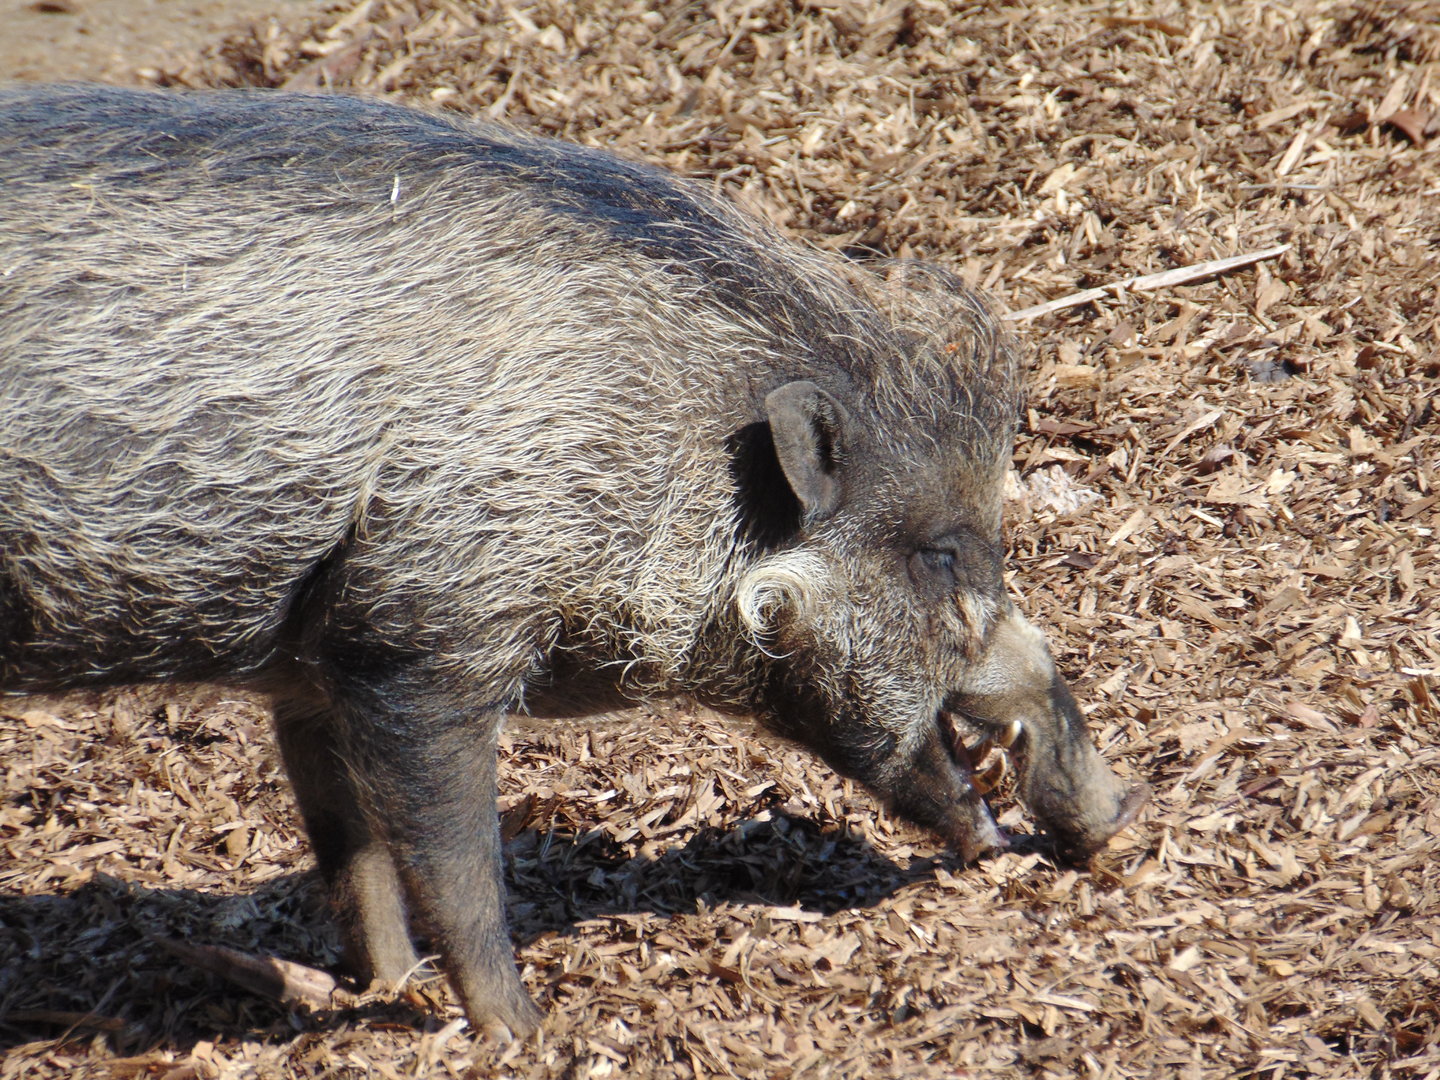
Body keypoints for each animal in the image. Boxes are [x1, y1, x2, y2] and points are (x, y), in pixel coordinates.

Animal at [0, 84, 1146, 1038]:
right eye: (943, 554)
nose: (1124, 812)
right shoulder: (421, 647)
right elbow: (457, 866)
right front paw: (523, 1034)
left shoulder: (311, 671)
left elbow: (351, 852)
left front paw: (392, 992)